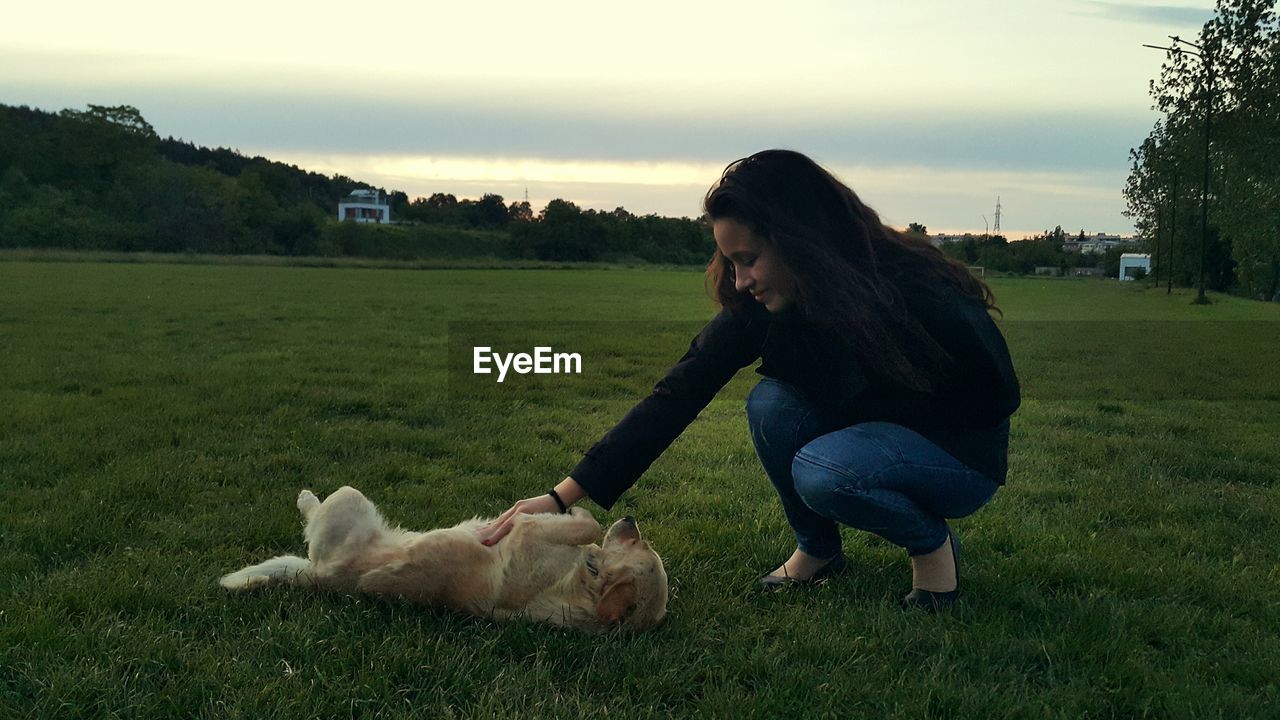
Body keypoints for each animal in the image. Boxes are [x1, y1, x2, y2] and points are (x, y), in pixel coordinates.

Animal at [220, 484, 670, 630]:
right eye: (645, 545)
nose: (629, 519)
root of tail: (318, 578)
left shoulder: (526, 531)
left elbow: (588, 526)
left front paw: (580, 520)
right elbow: (589, 528)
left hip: (349, 499)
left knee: (314, 513)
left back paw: (306, 498)